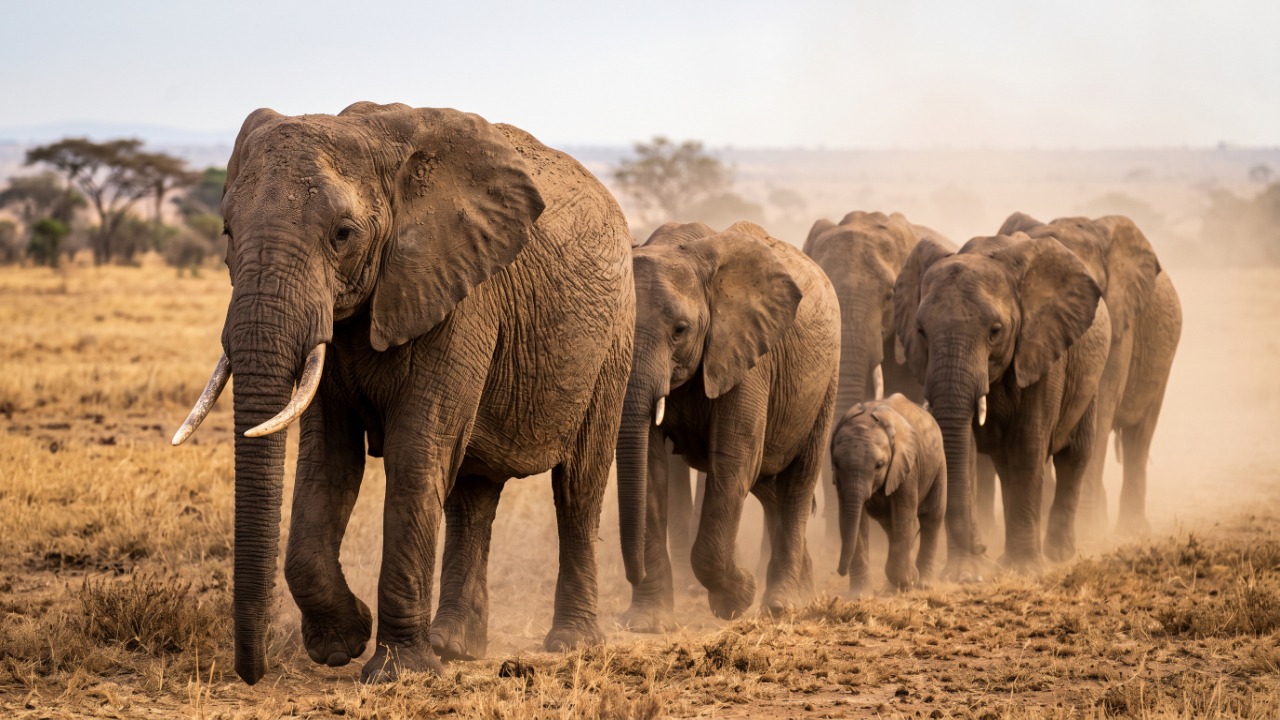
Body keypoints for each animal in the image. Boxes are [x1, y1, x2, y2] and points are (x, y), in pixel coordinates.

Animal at [171, 102, 635, 684]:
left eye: (342, 234)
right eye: (228, 231)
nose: (252, 673)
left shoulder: (461, 295)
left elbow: (416, 454)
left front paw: (397, 673)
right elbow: (329, 460)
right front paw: (342, 643)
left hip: (613, 341)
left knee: (578, 486)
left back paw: (569, 644)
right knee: (472, 495)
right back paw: (454, 646)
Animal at [617, 220, 840, 631]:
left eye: (680, 330)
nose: (633, 574)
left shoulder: (748, 357)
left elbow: (734, 460)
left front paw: (736, 599)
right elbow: (650, 470)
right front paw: (646, 623)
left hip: (826, 381)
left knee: (797, 481)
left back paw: (782, 605)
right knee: (768, 485)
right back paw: (802, 593)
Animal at [830, 393, 945, 593]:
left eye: (879, 465)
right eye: (836, 463)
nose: (839, 571)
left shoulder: (908, 467)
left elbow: (904, 516)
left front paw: (909, 582)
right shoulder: (841, 482)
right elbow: (852, 519)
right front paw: (860, 595)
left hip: (938, 463)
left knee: (932, 517)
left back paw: (923, 584)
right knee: (889, 523)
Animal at [894, 232, 1112, 573]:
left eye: (995, 332)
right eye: (921, 331)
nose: (981, 545)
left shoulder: (1042, 352)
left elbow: (1027, 445)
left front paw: (1026, 570)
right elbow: (966, 450)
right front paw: (966, 573)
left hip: (1088, 378)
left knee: (1074, 455)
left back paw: (1058, 554)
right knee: (1006, 466)